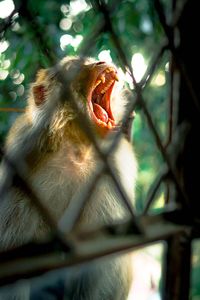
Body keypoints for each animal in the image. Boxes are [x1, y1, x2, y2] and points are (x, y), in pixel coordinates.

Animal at [0, 56, 138, 300]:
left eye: (92, 60)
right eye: (76, 66)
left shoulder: (114, 166)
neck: (77, 144)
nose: (101, 61)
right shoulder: (21, 153)